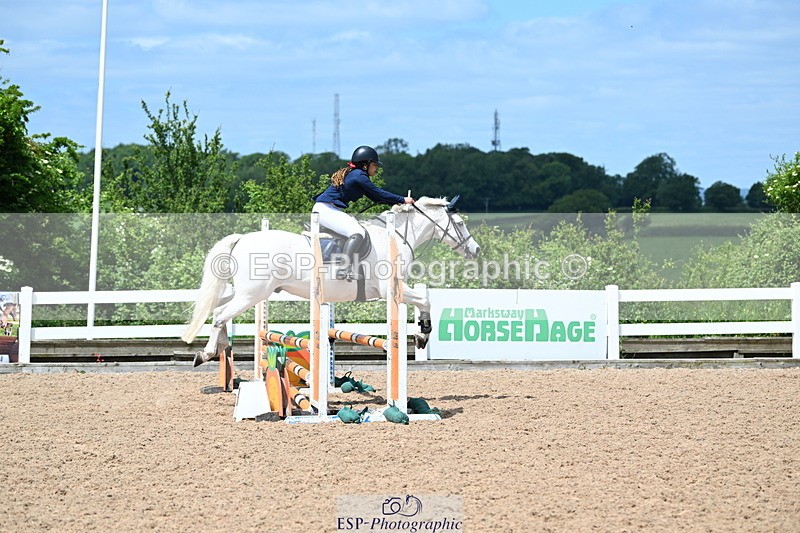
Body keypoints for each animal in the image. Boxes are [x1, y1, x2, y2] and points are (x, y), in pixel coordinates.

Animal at [182, 196, 480, 366]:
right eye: (461, 223)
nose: (476, 250)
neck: (395, 236)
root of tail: (243, 238)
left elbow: (423, 302)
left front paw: (419, 334)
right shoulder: (393, 289)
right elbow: (425, 301)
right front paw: (422, 334)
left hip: (247, 293)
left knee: (218, 308)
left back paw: (219, 348)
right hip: (252, 295)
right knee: (220, 314)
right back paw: (206, 353)